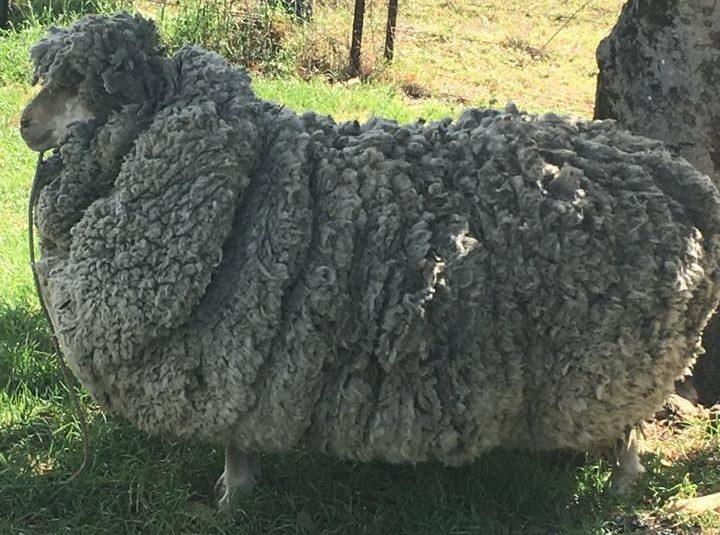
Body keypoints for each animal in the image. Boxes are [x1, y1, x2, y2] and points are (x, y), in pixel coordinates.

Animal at [21, 13, 720, 510]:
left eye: (79, 81)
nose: (24, 124)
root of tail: (670, 174)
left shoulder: (234, 356)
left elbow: (234, 444)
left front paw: (231, 499)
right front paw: (236, 494)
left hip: (613, 356)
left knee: (631, 428)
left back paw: (619, 487)